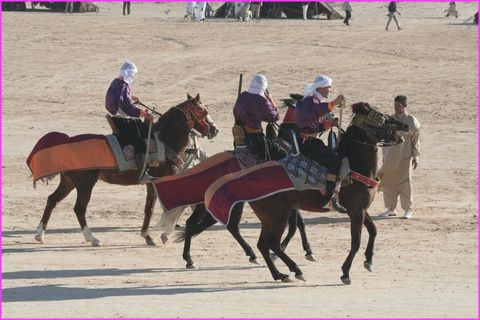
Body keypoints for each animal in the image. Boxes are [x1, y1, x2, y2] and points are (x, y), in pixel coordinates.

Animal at [30, 94, 218, 246]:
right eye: (201, 110)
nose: (215, 130)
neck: (164, 141)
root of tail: (67, 142)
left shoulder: (153, 184)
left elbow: (150, 208)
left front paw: (148, 236)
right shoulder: (162, 181)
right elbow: (173, 206)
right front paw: (163, 234)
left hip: (69, 182)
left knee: (52, 200)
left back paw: (40, 234)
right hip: (85, 184)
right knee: (79, 208)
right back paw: (92, 238)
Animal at [205, 102, 408, 282]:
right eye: (381, 118)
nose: (404, 126)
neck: (354, 167)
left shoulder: (360, 210)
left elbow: (373, 231)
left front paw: (369, 261)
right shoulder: (356, 211)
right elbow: (356, 242)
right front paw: (345, 273)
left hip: (269, 217)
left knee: (263, 243)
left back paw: (280, 274)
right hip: (278, 215)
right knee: (272, 242)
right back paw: (295, 270)